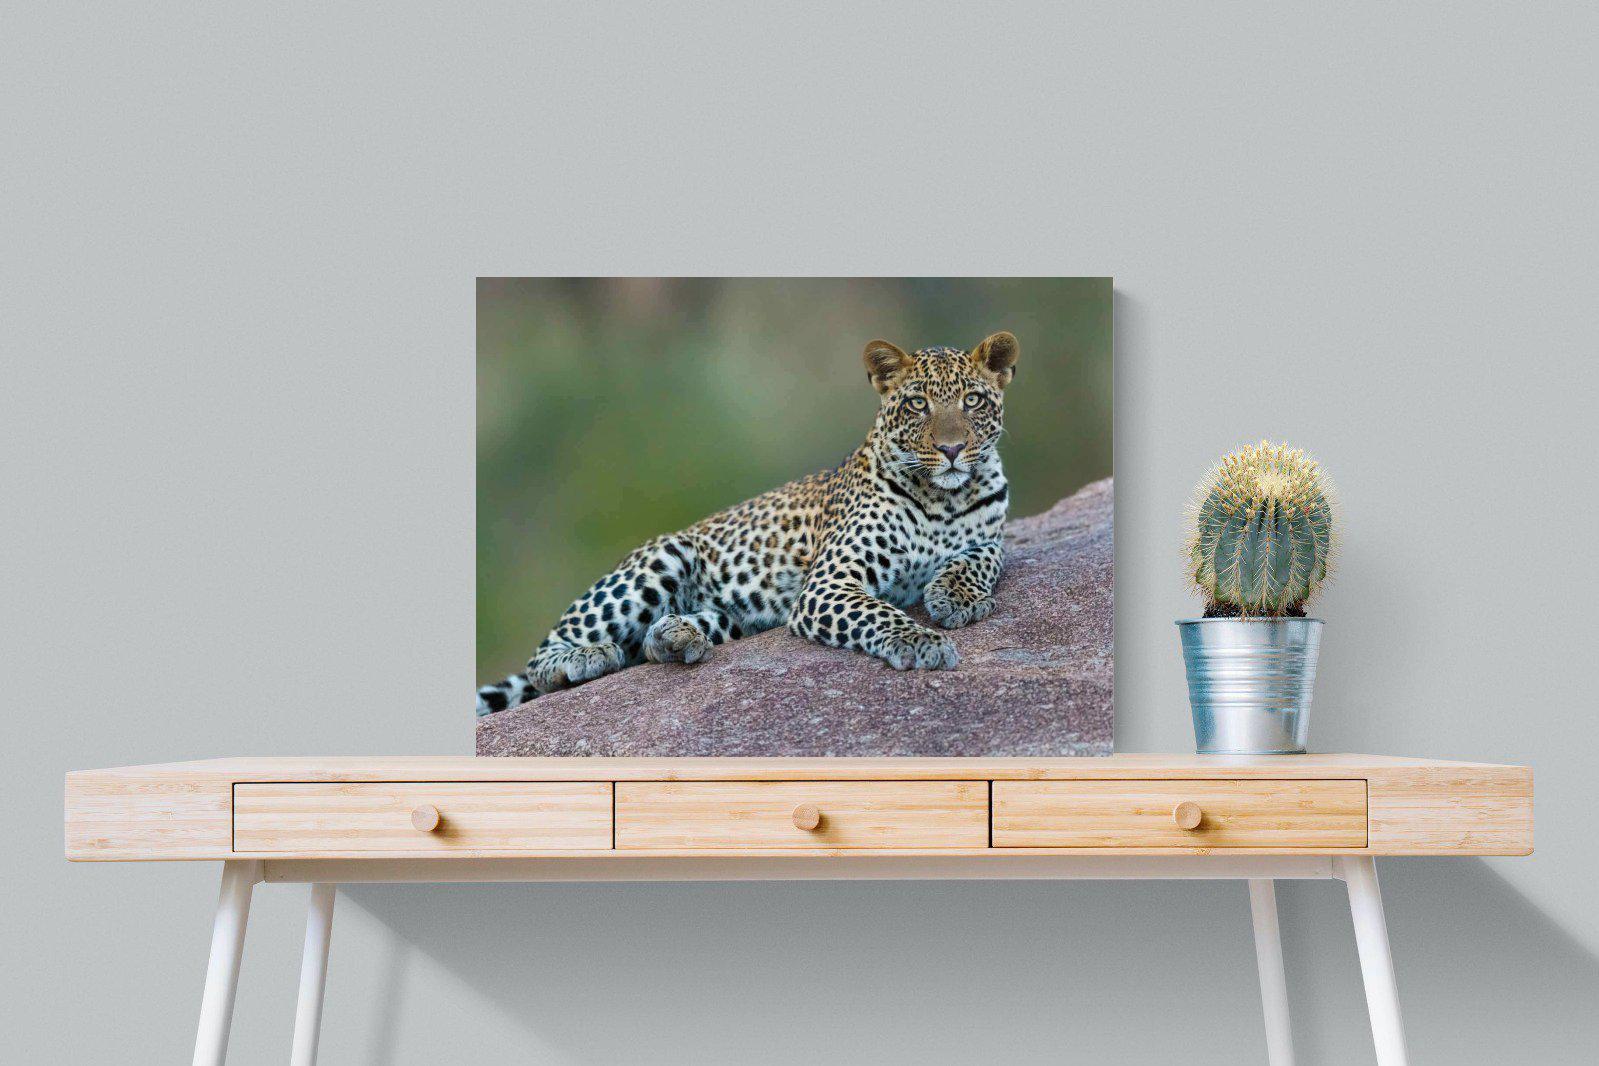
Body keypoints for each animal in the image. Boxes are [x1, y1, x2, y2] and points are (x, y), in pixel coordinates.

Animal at [476, 331, 1019, 716]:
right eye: (917, 404)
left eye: (972, 401)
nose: (952, 449)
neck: (944, 497)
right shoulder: (829, 584)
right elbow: (880, 613)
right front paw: (923, 641)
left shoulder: (992, 536)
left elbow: (981, 558)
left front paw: (958, 597)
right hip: (661, 559)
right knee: (544, 657)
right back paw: (584, 658)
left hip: (733, 616)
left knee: (652, 642)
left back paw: (676, 637)